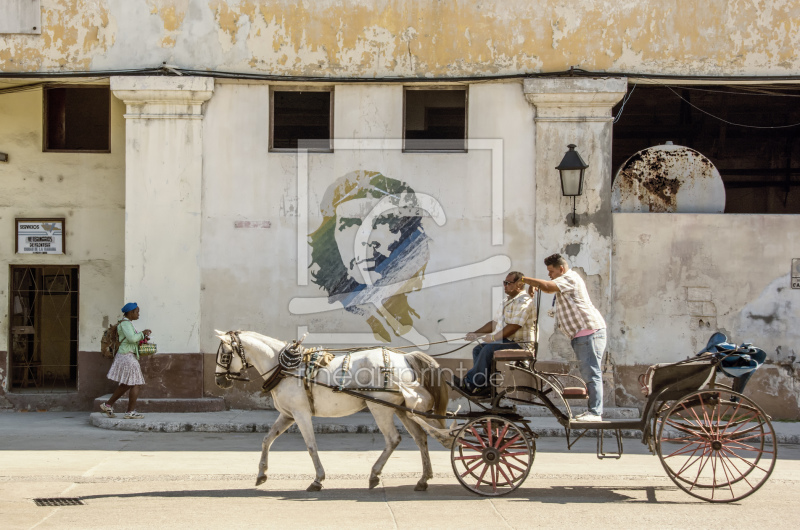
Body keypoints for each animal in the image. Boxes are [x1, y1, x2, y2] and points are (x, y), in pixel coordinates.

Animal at [212, 330, 454, 490]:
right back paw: (423, 478)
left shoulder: (300, 414)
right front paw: (262, 474)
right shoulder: (288, 415)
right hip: (402, 407)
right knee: (420, 438)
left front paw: (318, 479)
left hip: (380, 407)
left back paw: (375, 474)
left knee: (394, 439)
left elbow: (311, 446)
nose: (220, 381)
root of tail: (403, 356)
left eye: (224, 356)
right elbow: (267, 439)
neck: (285, 369)